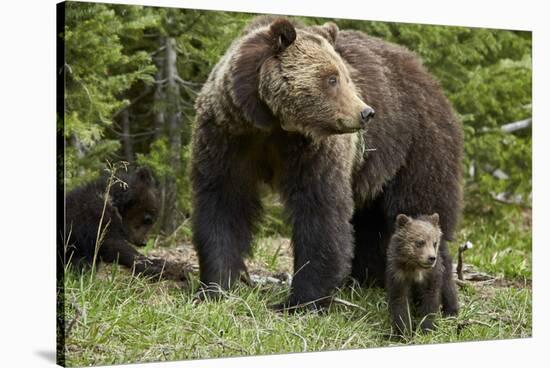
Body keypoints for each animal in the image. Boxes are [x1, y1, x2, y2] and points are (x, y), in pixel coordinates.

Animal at [192, 16, 464, 314]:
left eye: (346, 76)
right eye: (331, 78)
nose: (366, 112)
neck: (273, 124)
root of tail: (429, 77)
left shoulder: (314, 152)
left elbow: (321, 213)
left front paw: (299, 301)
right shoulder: (227, 137)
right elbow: (223, 204)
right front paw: (215, 287)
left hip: (417, 147)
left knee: (419, 207)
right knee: (371, 222)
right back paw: (366, 279)